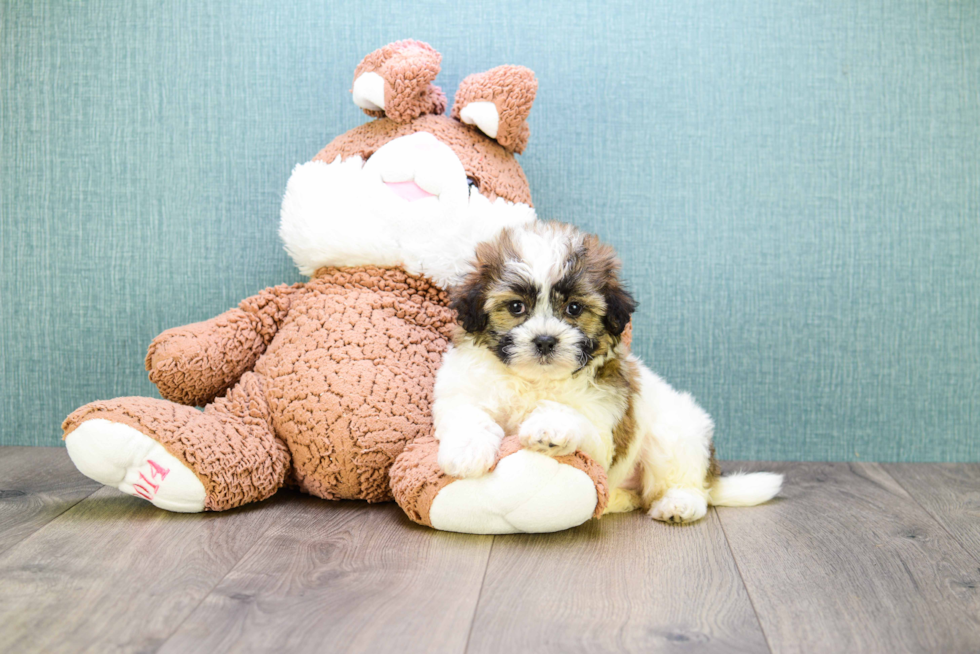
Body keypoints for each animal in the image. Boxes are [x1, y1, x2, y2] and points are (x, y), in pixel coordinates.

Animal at [434, 223, 780, 524]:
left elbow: (579, 421)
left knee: (689, 487)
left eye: (574, 308)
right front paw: (466, 451)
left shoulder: (604, 432)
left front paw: (550, 426)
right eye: (516, 307)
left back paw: (679, 504)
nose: (545, 340)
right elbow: (468, 413)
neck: (535, 380)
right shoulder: (461, 390)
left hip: (676, 435)